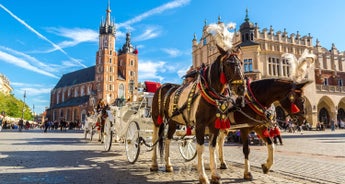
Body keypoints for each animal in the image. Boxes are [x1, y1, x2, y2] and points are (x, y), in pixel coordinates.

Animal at [150, 45, 245, 183]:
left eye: (242, 63)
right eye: (229, 63)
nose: (241, 88)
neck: (209, 92)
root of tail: (163, 86)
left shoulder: (214, 125)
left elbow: (212, 147)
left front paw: (215, 174)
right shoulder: (200, 125)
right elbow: (200, 148)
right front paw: (203, 176)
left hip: (173, 121)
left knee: (167, 139)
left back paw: (168, 165)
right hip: (157, 118)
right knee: (155, 138)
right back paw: (154, 164)